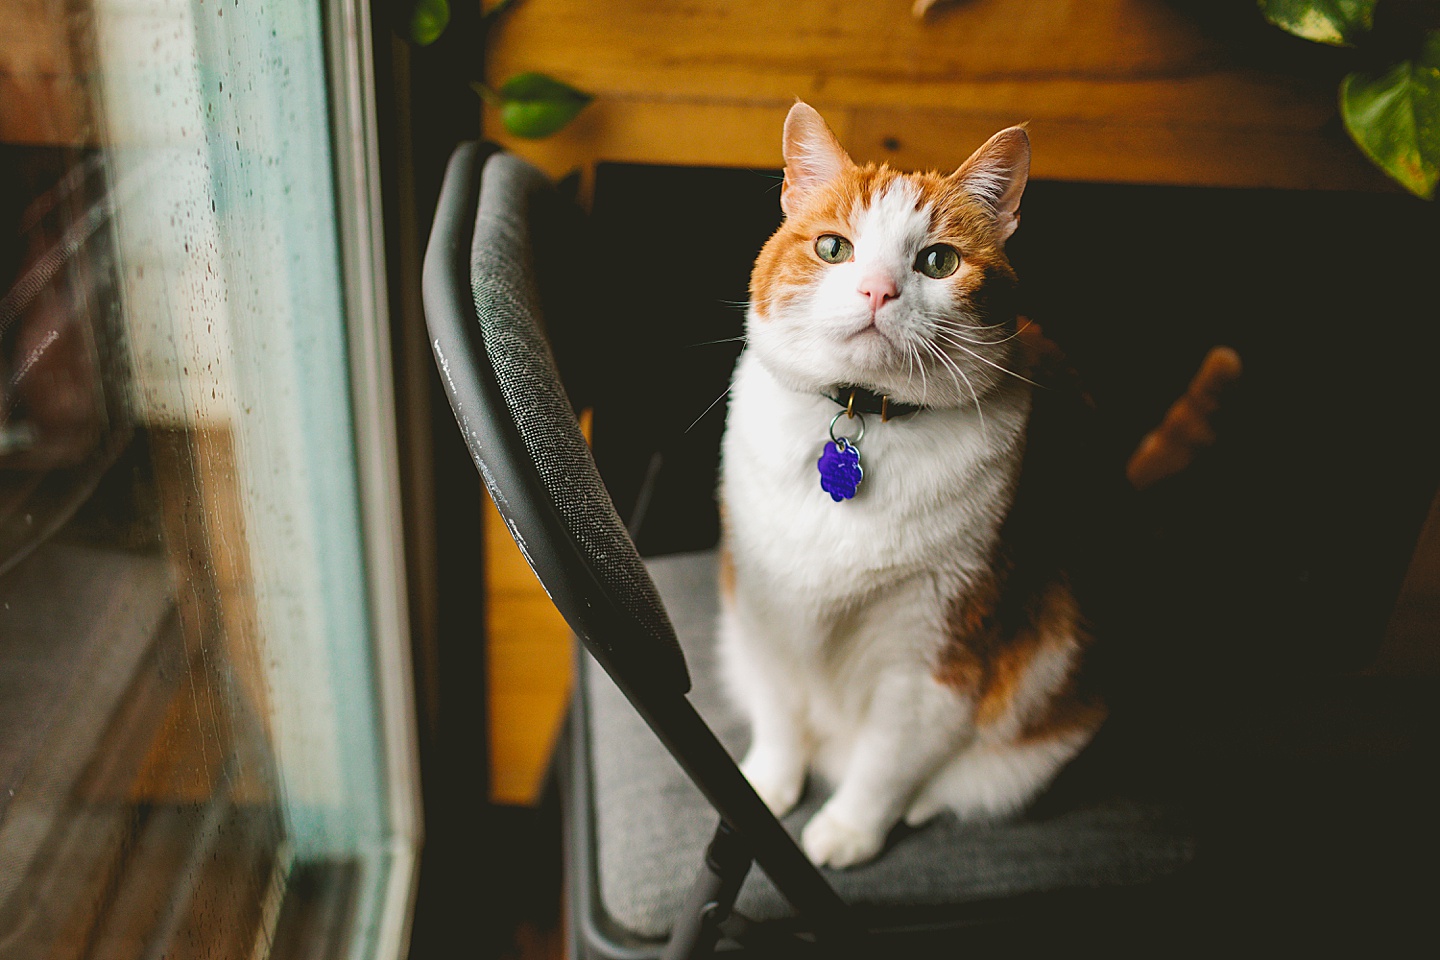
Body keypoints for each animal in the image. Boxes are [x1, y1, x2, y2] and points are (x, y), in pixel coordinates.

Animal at [717, 101, 1100, 869]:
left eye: (938, 261)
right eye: (833, 248)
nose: (878, 290)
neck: (863, 416)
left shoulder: (939, 657)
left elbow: (887, 761)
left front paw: (847, 829)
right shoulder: (760, 608)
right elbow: (778, 713)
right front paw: (766, 788)